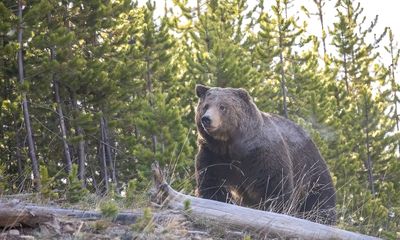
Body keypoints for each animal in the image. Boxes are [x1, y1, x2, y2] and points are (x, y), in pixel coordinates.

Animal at [195, 84, 336, 225]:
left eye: (222, 106)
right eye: (206, 106)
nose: (206, 119)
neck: (230, 145)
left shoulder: (262, 155)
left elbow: (275, 185)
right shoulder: (213, 154)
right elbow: (211, 181)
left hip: (310, 168)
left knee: (320, 198)